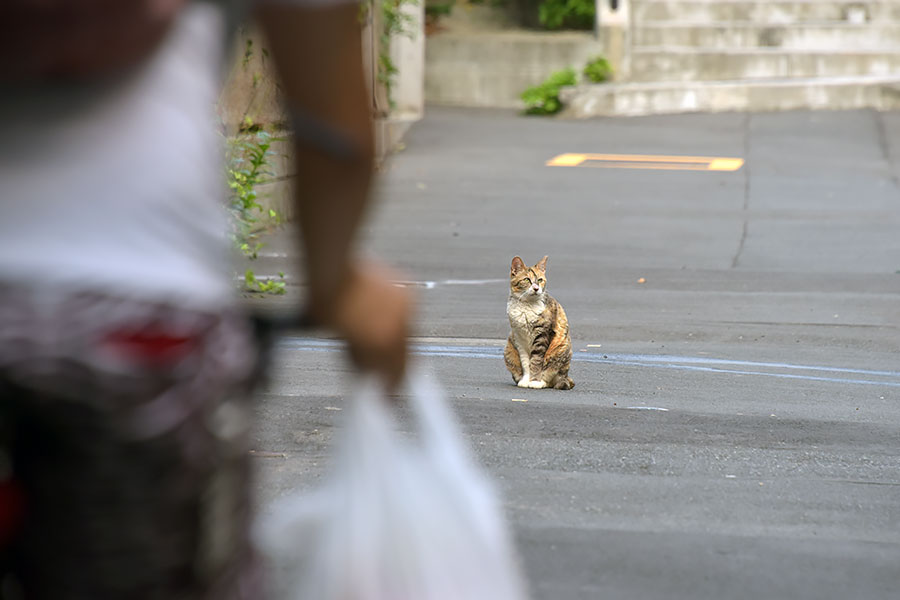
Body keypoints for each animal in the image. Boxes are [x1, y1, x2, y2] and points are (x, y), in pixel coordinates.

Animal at [502, 254, 572, 390]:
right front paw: (525, 380)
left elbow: (536, 361)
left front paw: (534, 381)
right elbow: (525, 362)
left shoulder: (542, 335)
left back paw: (542, 382)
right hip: (509, 347)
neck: (526, 306)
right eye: (527, 280)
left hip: (560, 348)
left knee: (552, 377)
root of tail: (567, 376)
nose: (536, 288)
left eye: (540, 280)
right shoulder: (519, 337)